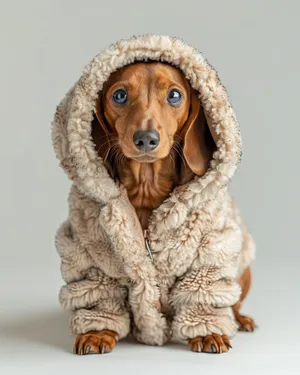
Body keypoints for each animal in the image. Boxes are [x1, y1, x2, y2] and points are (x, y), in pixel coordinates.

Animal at [72, 61, 255, 356]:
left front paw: (207, 332)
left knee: (234, 303)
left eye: (174, 95)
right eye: (119, 95)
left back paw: (241, 319)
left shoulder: (208, 255)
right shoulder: (93, 259)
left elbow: (202, 295)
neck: (147, 188)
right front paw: (98, 332)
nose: (146, 138)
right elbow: (99, 298)